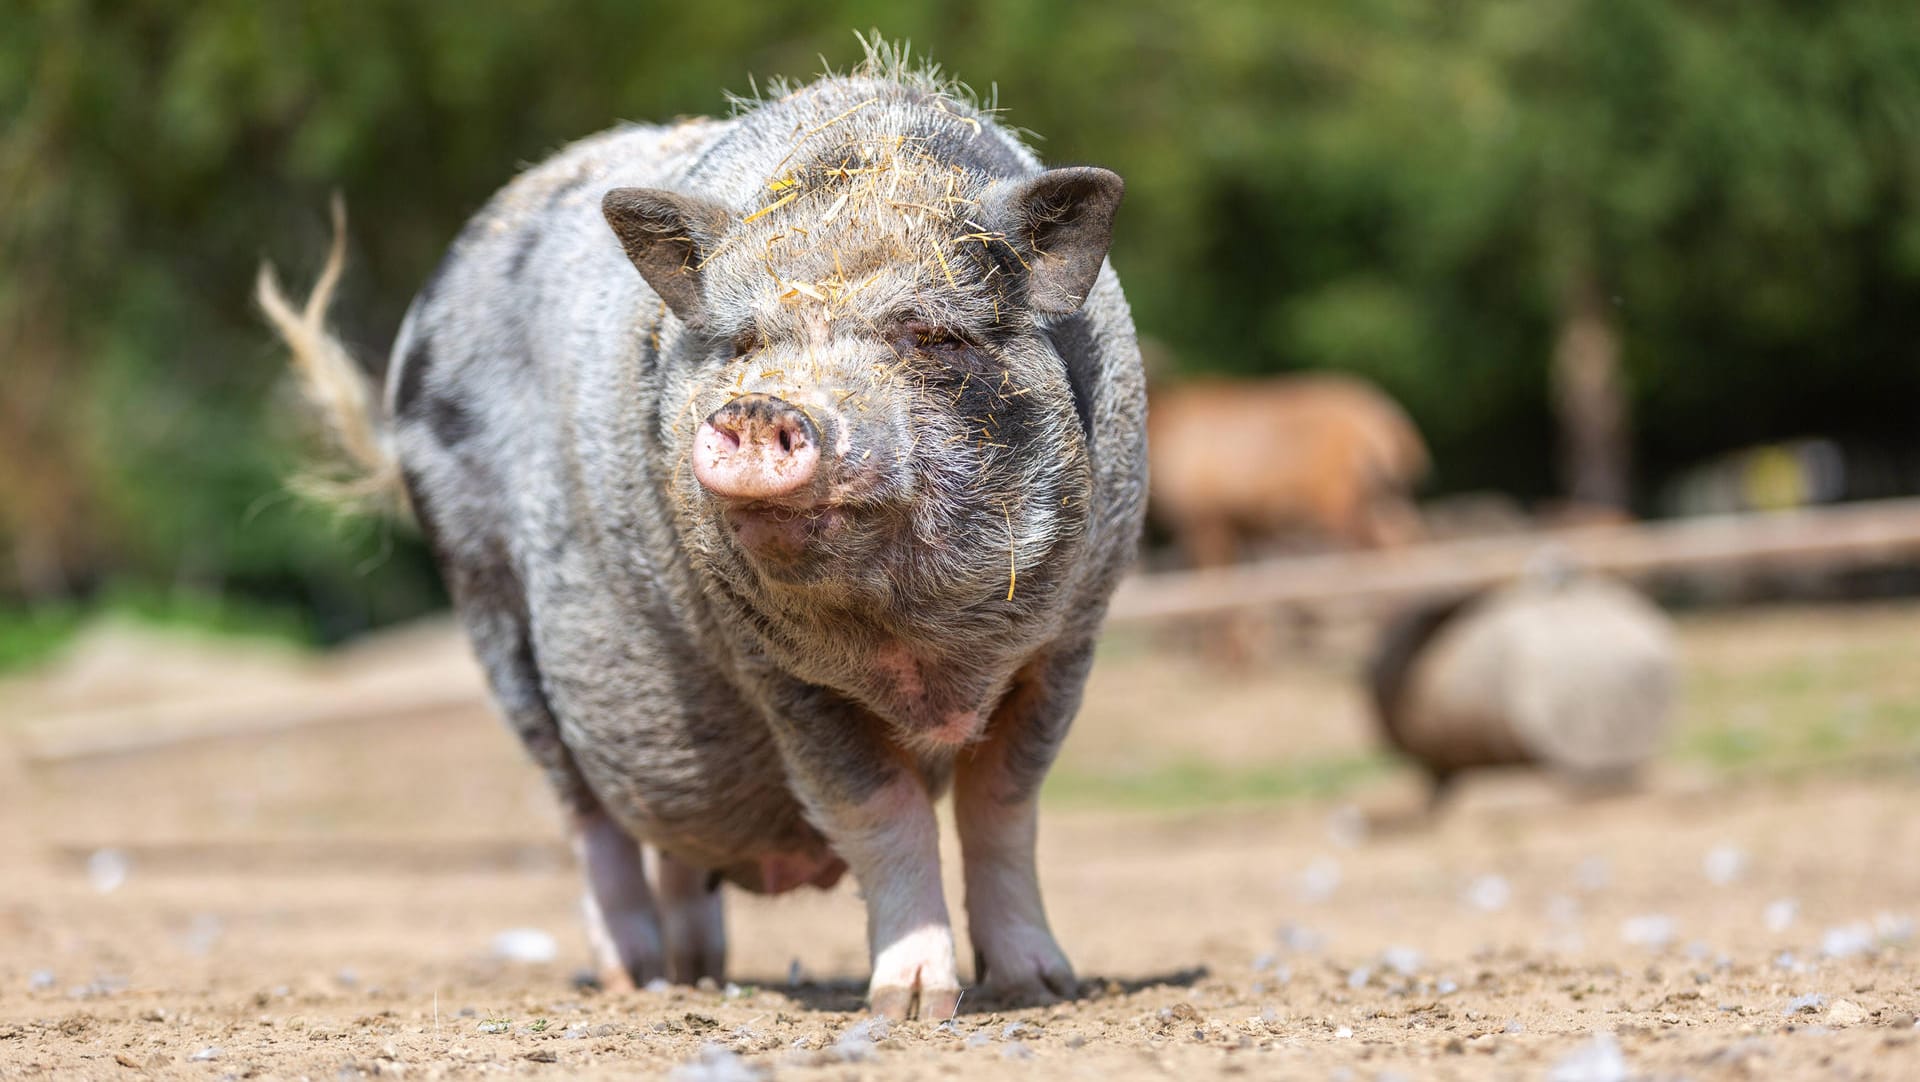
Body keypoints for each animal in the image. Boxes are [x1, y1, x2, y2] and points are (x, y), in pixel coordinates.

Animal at [261, 44, 1144, 1020]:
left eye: (930, 334)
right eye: (745, 341)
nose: (761, 407)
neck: (930, 665)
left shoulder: (1070, 638)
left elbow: (1005, 805)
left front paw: (1042, 988)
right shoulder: (781, 676)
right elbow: (883, 811)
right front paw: (907, 1007)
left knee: (677, 844)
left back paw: (699, 974)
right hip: (490, 609)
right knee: (588, 819)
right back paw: (631, 980)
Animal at [1136, 372, 1428, 567]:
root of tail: (1388, 421)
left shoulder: (1209, 521)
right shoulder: (1240, 528)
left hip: (1344, 502)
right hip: (1385, 495)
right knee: (1404, 533)